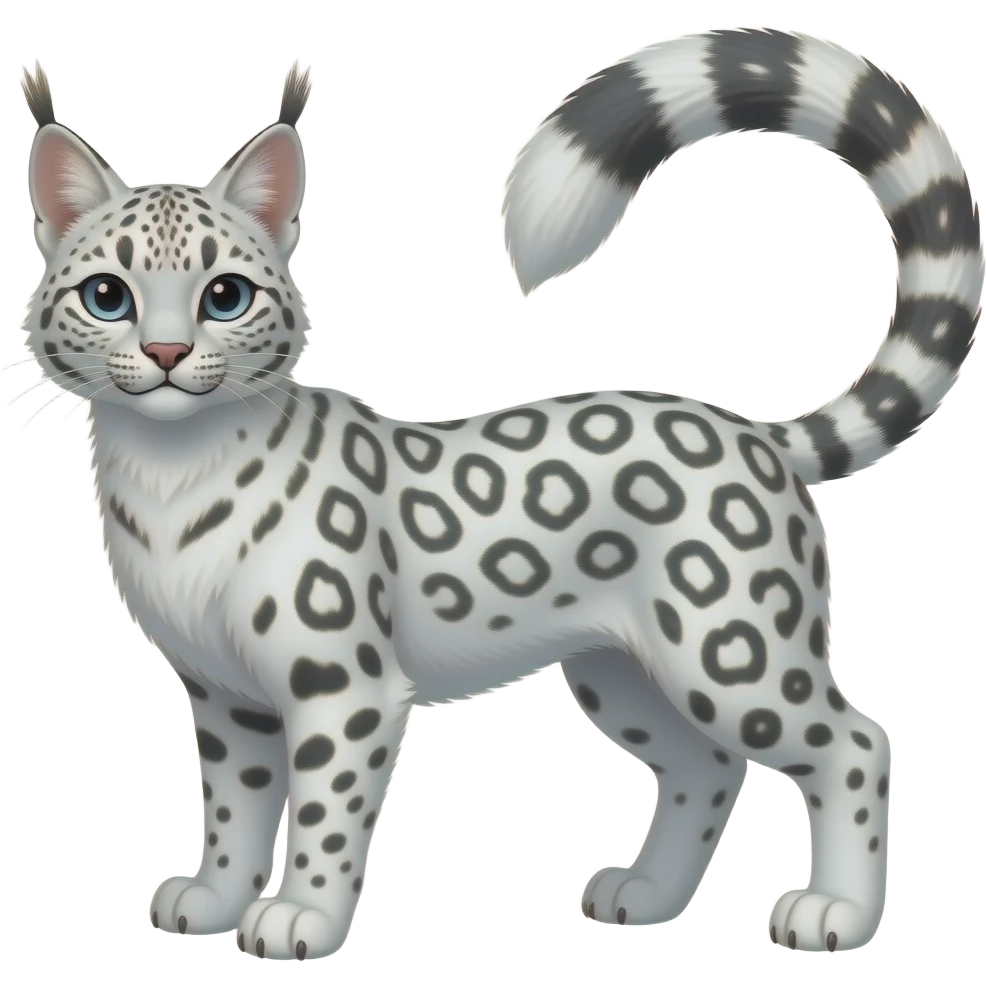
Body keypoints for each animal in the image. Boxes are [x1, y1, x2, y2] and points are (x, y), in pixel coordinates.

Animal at [15, 28, 982, 960]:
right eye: (107, 295)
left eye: (224, 295)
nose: (168, 354)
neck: (172, 478)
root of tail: (752, 429)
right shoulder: (224, 695)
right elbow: (235, 806)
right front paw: (217, 895)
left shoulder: (345, 693)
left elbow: (322, 817)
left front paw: (300, 918)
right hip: (620, 672)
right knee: (705, 766)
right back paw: (648, 895)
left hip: (730, 655)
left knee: (854, 743)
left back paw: (836, 911)